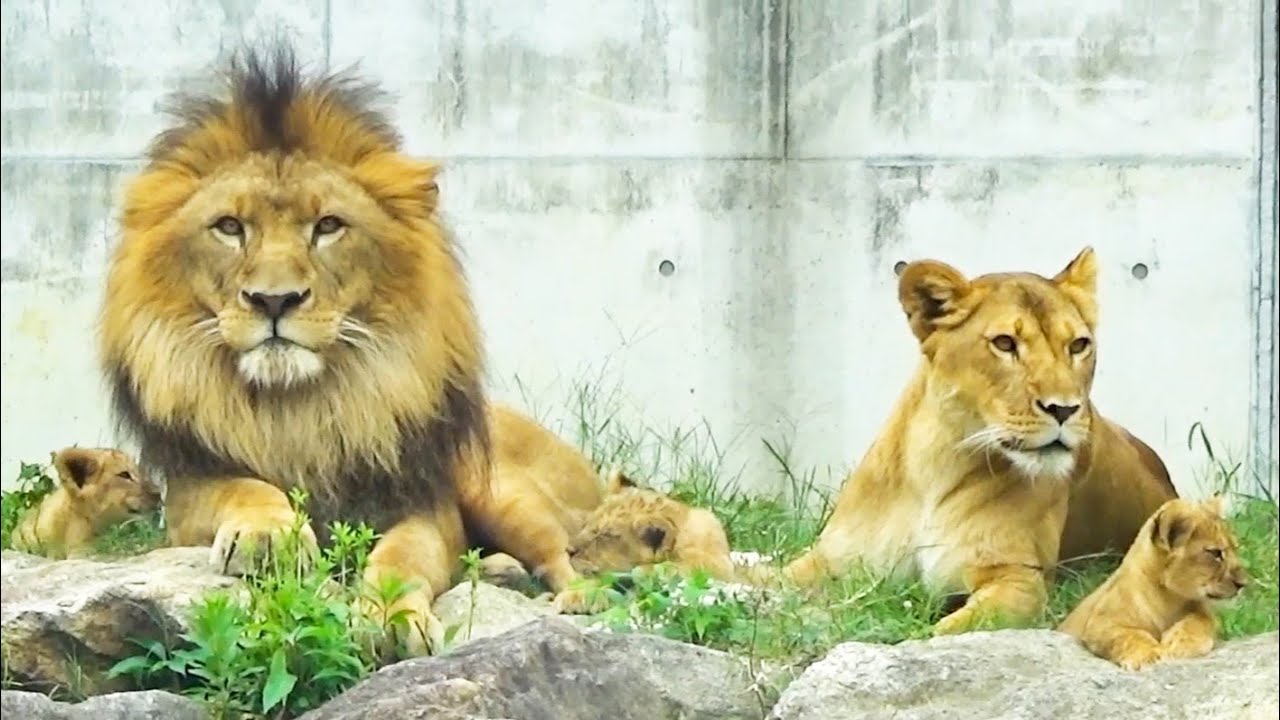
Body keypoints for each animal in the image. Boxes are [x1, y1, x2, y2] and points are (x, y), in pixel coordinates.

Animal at [96, 42, 529, 655]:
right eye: (230, 226)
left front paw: (392, 617)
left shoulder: (423, 500)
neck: (297, 410)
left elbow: (407, 553)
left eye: (328, 225)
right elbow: (244, 487)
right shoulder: (188, 494)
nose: (274, 300)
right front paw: (267, 536)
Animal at [553, 472, 736, 614]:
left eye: (605, 535)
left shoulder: (723, 567)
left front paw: (646, 572)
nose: (568, 550)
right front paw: (575, 597)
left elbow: (690, 565)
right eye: (586, 524)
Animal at [778, 247, 1178, 634]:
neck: (934, 465)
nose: (1064, 409)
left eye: (1078, 345)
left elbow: (938, 634)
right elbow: (772, 579)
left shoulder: (1017, 579)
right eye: (1004, 343)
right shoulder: (829, 558)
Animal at [1057, 496, 1249, 670]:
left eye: (1235, 548)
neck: (1169, 599)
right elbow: (1128, 635)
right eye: (1215, 553)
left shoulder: (1204, 615)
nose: (1243, 583)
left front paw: (1179, 644)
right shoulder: (1099, 624)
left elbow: (1200, 622)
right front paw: (1149, 655)